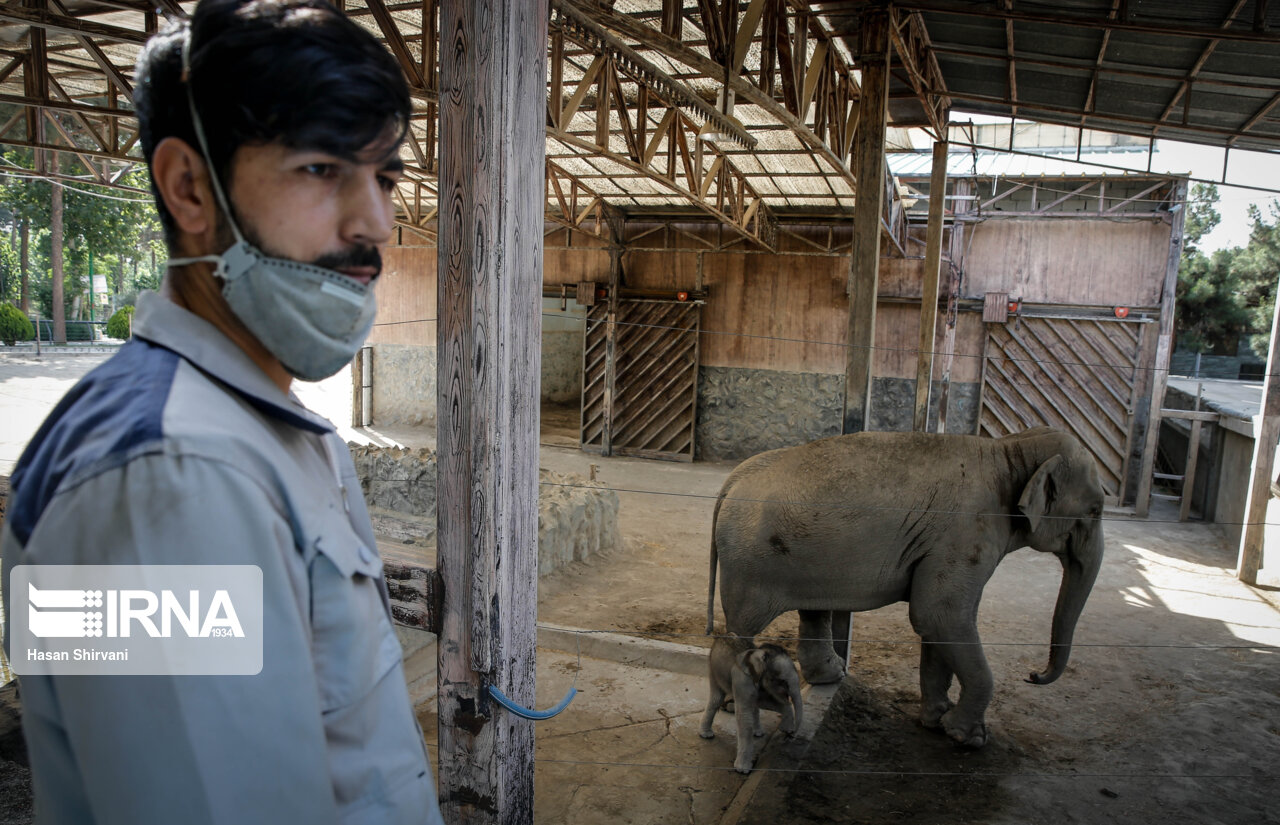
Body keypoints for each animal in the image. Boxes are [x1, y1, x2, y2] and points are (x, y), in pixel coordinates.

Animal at [701, 636, 798, 772]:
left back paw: (758, 733)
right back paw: (706, 735)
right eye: (782, 681)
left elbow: (764, 702)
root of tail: (721, 636)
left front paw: (787, 727)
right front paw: (742, 769)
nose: (791, 735)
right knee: (717, 698)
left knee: (754, 706)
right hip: (713, 667)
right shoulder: (742, 680)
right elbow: (744, 715)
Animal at [706, 424, 1105, 746]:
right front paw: (968, 738)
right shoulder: (965, 534)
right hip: (750, 563)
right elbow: (941, 615)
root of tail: (730, 481)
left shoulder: (946, 546)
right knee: (742, 626)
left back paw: (832, 675)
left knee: (813, 610)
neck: (1012, 448)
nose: (1033, 675)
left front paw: (935, 720)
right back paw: (735, 702)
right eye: (1096, 510)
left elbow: (937, 623)